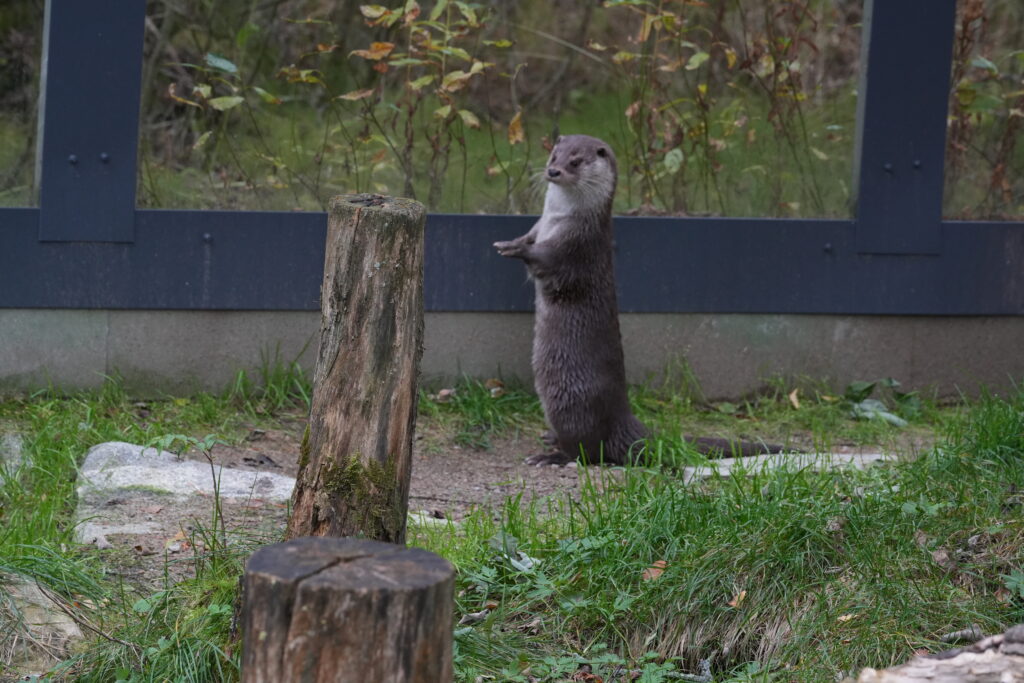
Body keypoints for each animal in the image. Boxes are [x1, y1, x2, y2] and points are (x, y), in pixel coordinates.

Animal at [494, 134, 789, 466]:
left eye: (575, 161)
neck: (558, 219)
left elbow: (543, 259)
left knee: (587, 449)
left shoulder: (575, 246)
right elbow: (528, 236)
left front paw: (516, 250)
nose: (553, 171)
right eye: (554, 155)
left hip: (570, 404)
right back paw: (549, 436)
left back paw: (551, 454)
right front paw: (513, 242)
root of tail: (621, 417)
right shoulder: (539, 227)